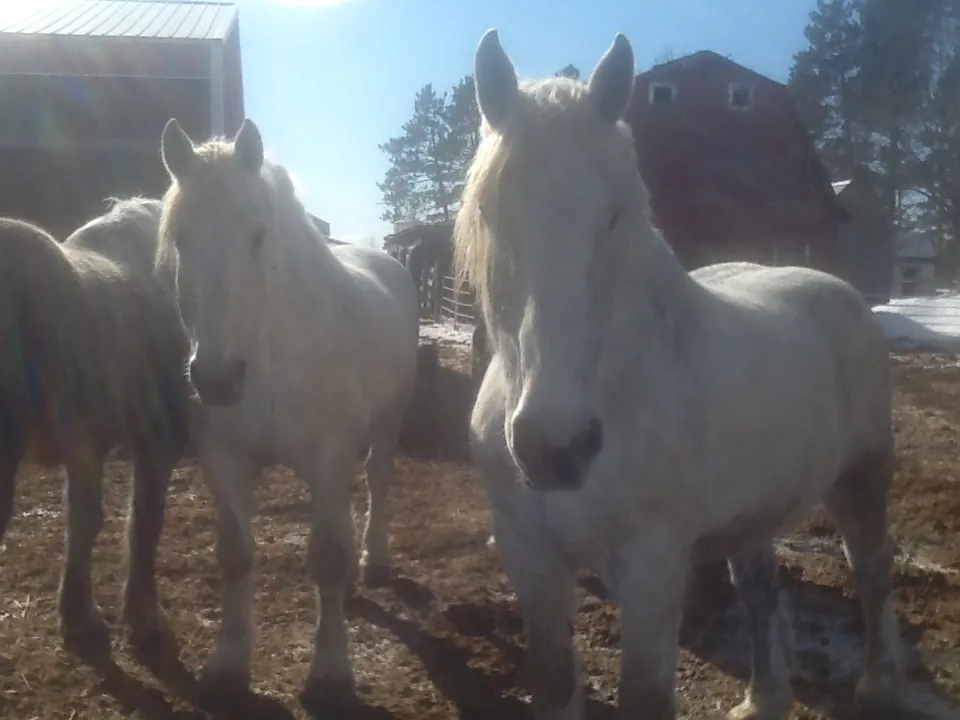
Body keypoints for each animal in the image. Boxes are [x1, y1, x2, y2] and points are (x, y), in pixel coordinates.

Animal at [0, 197, 191, 663]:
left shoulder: (89, 448)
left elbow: (84, 521)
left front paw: (78, 618)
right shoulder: (157, 441)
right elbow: (142, 522)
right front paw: (143, 621)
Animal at [156, 117, 420, 711]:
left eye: (258, 235)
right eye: (180, 239)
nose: (216, 379)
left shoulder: (327, 459)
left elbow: (324, 556)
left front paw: (330, 671)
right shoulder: (225, 460)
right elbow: (235, 553)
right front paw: (227, 664)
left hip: (389, 421)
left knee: (378, 483)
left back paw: (373, 562)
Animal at [453, 30, 906, 720]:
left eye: (615, 215)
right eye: (490, 211)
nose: (556, 446)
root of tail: (841, 291)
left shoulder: (652, 572)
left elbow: (645, 695)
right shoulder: (532, 562)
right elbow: (554, 684)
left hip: (863, 477)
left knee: (872, 572)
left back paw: (879, 687)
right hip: (758, 509)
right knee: (759, 590)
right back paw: (763, 699)